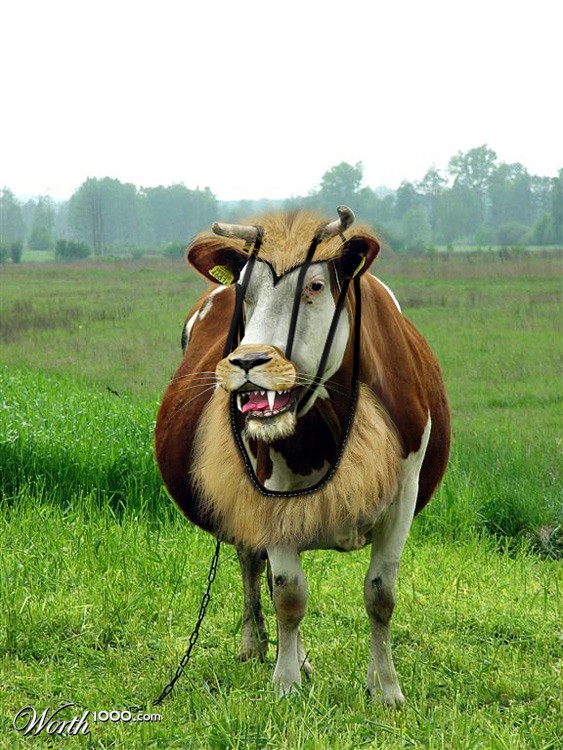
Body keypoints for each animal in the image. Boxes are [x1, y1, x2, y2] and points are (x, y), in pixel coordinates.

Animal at [155, 207, 450, 706]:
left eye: (313, 286)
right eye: (244, 290)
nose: (249, 362)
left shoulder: (404, 492)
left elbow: (381, 594)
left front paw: (385, 688)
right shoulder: (264, 490)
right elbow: (288, 593)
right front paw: (286, 683)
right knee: (253, 563)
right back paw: (259, 646)